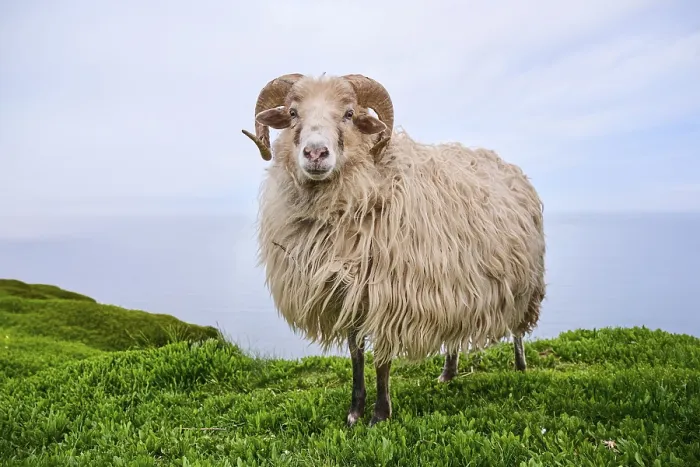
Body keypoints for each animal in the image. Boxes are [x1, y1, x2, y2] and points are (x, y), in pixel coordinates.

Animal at [241, 73, 546, 427]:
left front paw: (380, 414)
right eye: (292, 113)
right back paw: (448, 373)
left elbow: (382, 360)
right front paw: (354, 412)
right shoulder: (350, 295)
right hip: (459, 281)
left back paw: (520, 367)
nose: (316, 153)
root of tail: (506, 164)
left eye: (349, 114)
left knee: (518, 329)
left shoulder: (389, 295)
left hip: (525, 279)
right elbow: (356, 355)